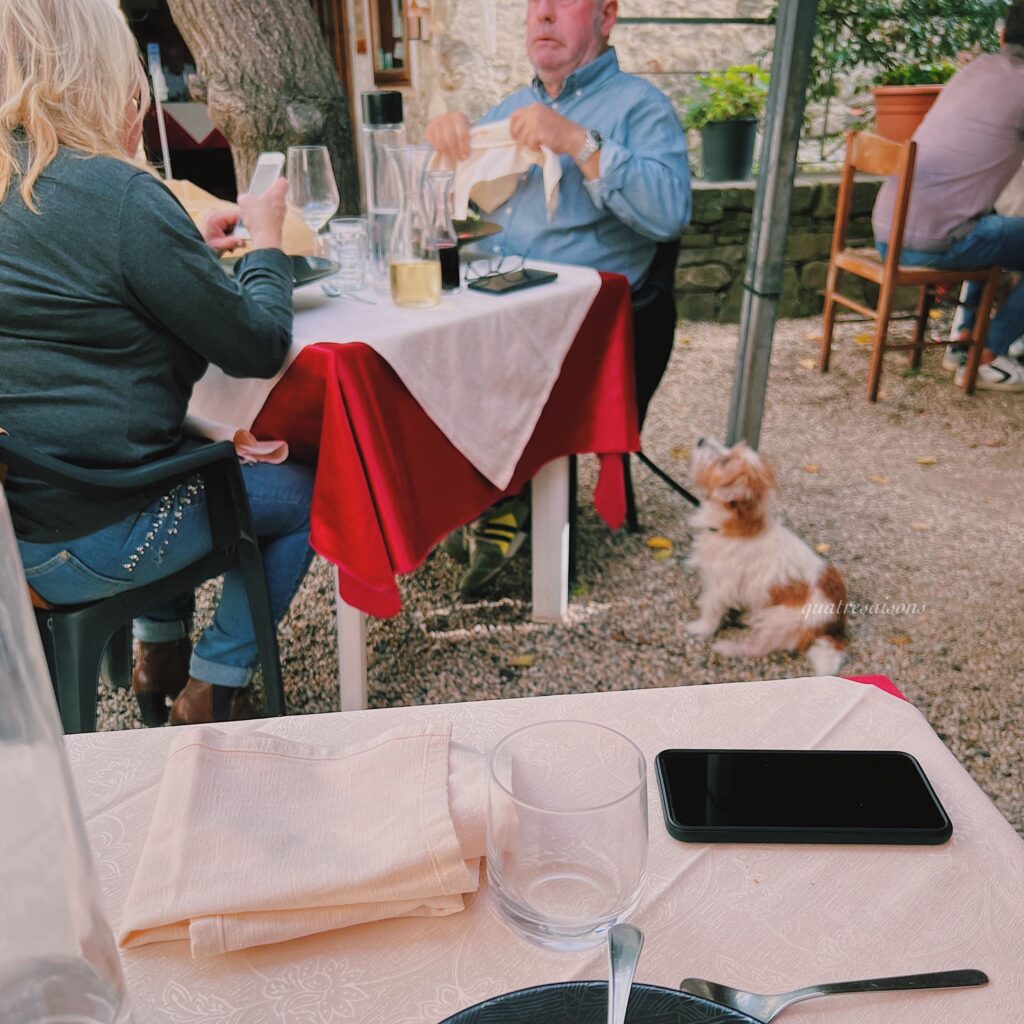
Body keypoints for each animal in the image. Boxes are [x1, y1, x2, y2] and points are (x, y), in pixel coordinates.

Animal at [688, 436, 847, 675]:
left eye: (725, 462)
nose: (700, 440)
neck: (740, 530)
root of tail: (835, 627)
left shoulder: (721, 585)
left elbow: (711, 609)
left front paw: (700, 628)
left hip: (779, 620)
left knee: (760, 646)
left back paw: (729, 647)